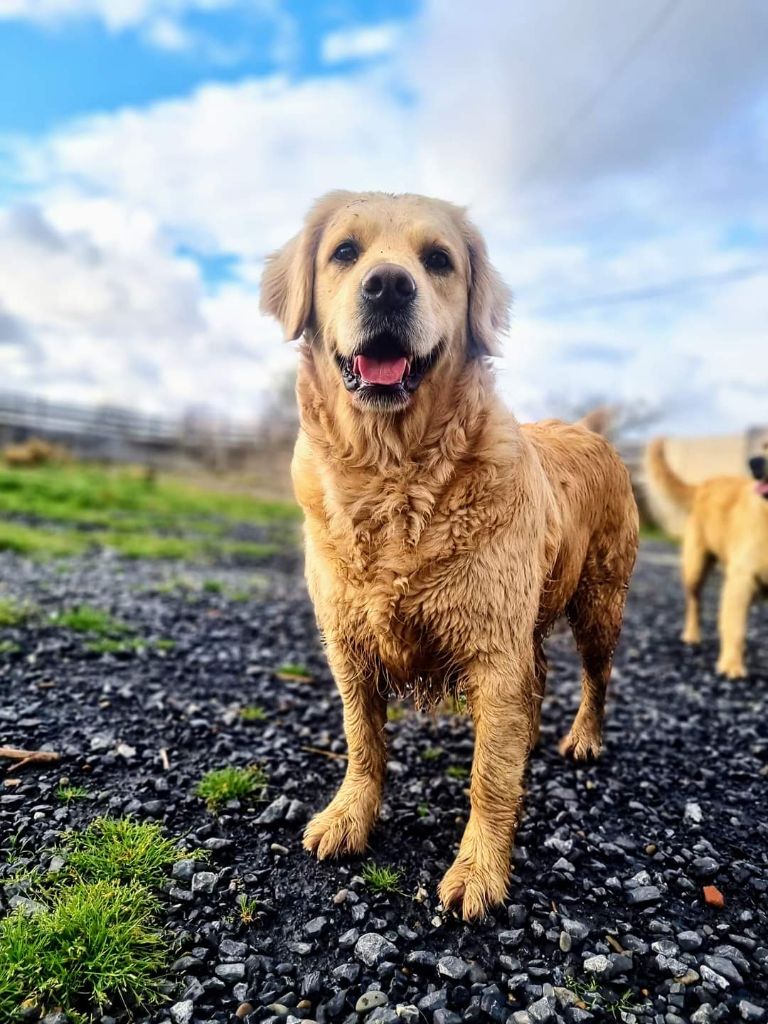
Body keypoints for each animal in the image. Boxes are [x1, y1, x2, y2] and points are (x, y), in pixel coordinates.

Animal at [262, 192, 638, 921]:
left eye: (437, 260)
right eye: (344, 252)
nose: (388, 285)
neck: (395, 475)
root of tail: (589, 430)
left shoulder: (493, 648)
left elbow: (488, 776)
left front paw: (479, 870)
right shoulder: (347, 640)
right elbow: (363, 742)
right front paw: (350, 816)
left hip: (598, 602)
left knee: (595, 677)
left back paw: (583, 738)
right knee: (540, 675)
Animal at [647, 436, 765, 675]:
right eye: (765, 445)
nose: (755, 463)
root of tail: (704, 484)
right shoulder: (740, 580)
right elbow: (735, 628)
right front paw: (731, 666)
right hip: (696, 568)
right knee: (695, 603)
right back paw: (692, 636)